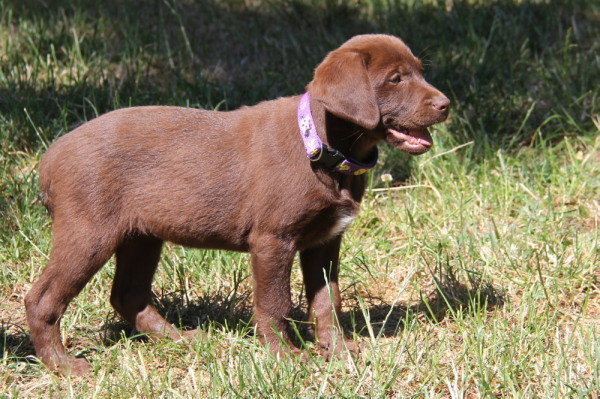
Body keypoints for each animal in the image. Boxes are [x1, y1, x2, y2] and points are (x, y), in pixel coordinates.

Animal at [25, 34, 448, 376]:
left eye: (419, 72)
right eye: (396, 79)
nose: (445, 104)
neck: (321, 144)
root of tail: (49, 157)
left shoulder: (324, 241)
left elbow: (327, 300)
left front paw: (337, 350)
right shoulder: (273, 240)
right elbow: (275, 304)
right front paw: (285, 356)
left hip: (141, 236)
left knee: (128, 295)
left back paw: (181, 339)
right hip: (89, 233)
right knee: (42, 299)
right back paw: (63, 366)